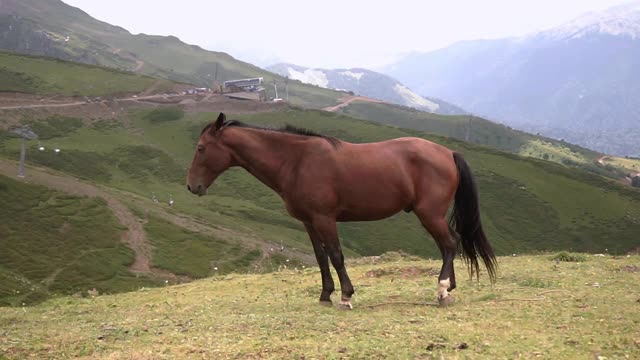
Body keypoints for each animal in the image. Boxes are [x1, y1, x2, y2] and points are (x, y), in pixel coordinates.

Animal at [188, 113, 498, 310]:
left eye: (201, 148)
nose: (192, 186)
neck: (297, 161)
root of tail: (448, 153)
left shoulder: (325, 219)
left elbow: (336, 255)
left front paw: (346, 296)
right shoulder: (309, 222)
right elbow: (321, 257)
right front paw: (325, 294)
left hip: (429, 214)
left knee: (449, 243)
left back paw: (443, 289)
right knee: (450, 243)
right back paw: (449, 288)